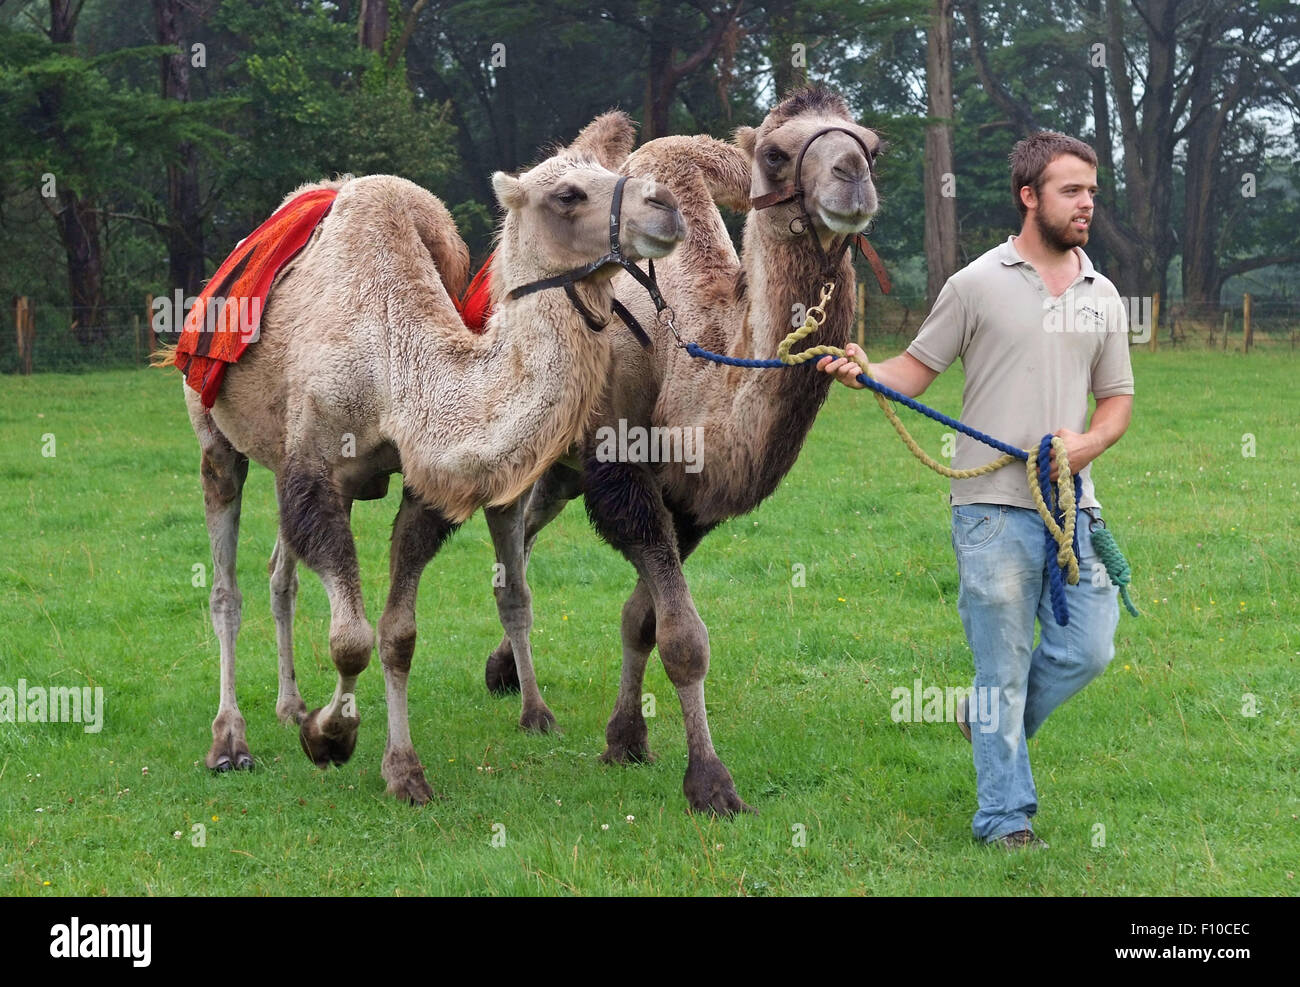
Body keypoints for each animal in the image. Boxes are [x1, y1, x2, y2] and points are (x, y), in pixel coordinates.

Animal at [189, 109, 691, 801]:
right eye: (568, 195)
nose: (666, 206)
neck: (394, 360)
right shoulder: (314, 457)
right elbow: (351, 638)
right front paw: (331, 737)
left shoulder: (415, 480)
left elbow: (397, 633)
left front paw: (398, 767)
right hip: (213, 432)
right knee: (226, 588)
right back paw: (229, 740)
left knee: (280, 574)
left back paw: (290, 705)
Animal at [480, 85, 883, 816]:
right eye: (776, 154)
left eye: (874, 146)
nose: (852, 178)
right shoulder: (623, 477)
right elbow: (683, 638)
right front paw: (711, 781)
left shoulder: (692, 503)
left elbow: (640, 620)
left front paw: (625, 738)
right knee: (512, 541)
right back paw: (529, 701)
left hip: (564, 473)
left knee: (528, 531)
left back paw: (502, 670)